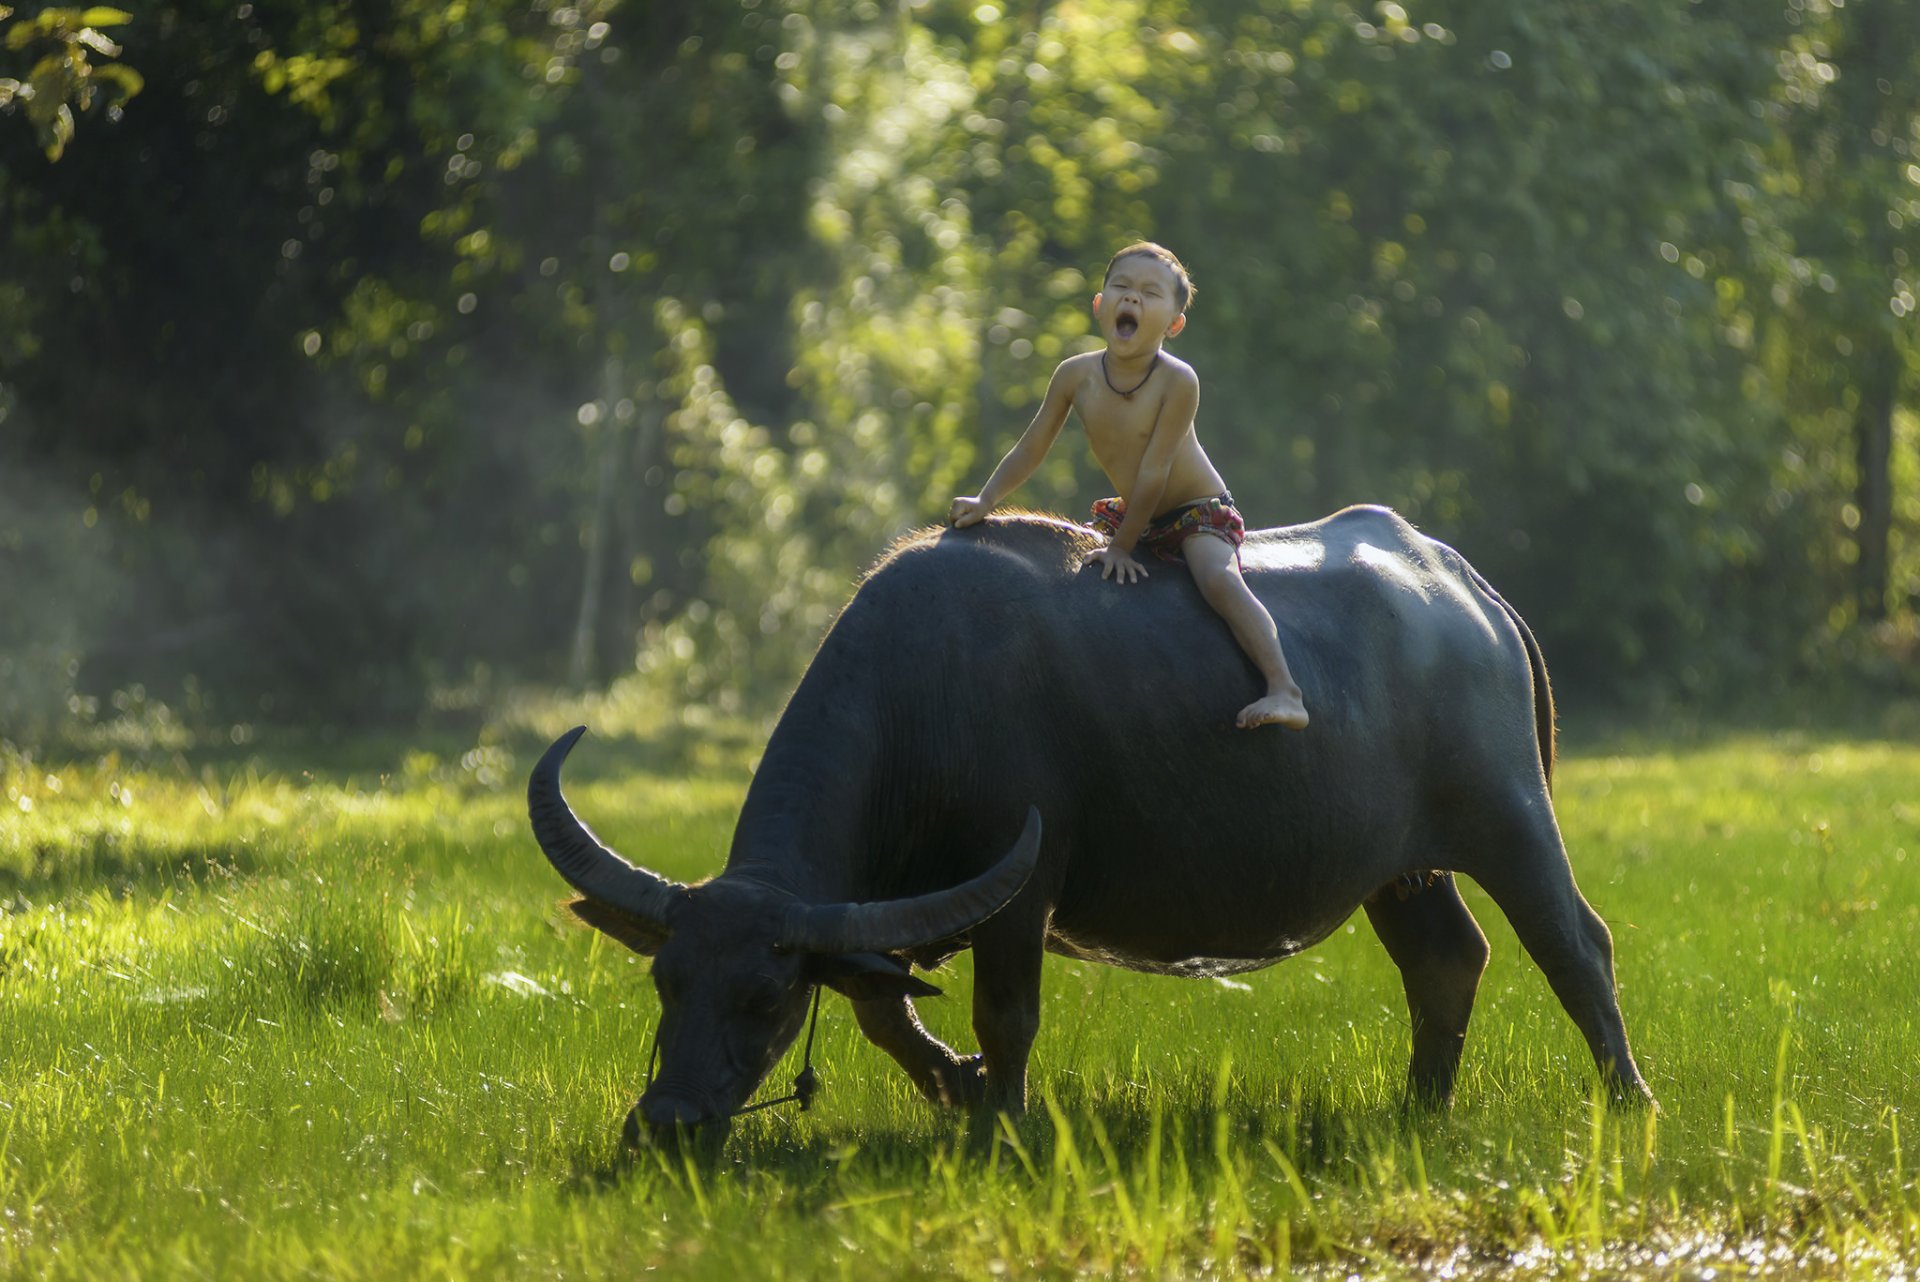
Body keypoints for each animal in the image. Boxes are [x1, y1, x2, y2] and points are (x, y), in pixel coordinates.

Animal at [529, 506, 1653, 1144]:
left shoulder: (1022, 889)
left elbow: (1005, 1014)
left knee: (1575, 944)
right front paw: (958, 1088)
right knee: (1446, 960)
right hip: (1400, 869)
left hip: (1512, 820)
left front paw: (1003, 1119)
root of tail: (1468, 590)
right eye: (667, 980)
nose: (665, 1125)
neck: (923, 702)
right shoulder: (878, 913)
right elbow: (882, 1008)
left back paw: (1629, 1099)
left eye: (764, 999)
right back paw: (1421, 1104)